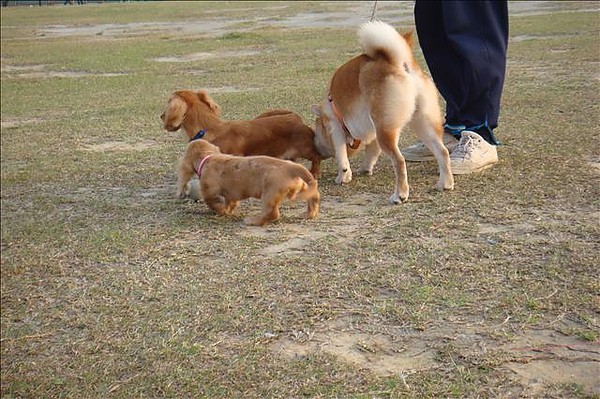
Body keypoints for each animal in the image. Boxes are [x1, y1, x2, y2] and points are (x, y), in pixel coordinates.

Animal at [159, 91, 318, 179]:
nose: (161, 116)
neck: (208, 128)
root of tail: (295, 117)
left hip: (306, 149)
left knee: (317, 157)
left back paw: (314, 172)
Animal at [177, 139, 322, 227]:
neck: (208, 157)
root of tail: (291, 167)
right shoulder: (231, 195)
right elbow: (230, 203)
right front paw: (227, 210)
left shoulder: (209, 191)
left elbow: (212, 202)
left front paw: (221, 211)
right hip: (303, 187)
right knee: (314, 197)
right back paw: (310, 213)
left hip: (269, 195)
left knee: (272, 214)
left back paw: (253, 221)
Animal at [312, 21, 452, 203]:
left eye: (316, 133)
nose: (316, 147)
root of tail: (400, 63)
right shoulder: (373, 131)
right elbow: (372, 152)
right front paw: (365, 169)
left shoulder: (336, 128)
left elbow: (342, 157)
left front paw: (343, 177)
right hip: (421, 124)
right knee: (443, 152)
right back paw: (445, 184)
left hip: (386, 130)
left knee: (399, 161)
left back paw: (400, 195)